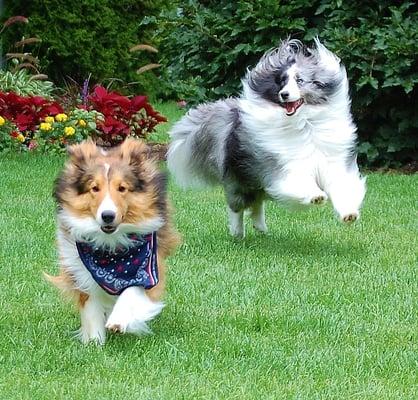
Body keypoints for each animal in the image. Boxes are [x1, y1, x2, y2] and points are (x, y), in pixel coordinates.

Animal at [47, 138, 180, 344]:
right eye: (94, 188)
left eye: (122, 188)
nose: (107, 216)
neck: (110, 248)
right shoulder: (79, 269)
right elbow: (90, 306)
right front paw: (94, 342)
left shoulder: (148, 266)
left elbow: (132, 290)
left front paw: (119, 320)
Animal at [167, 38, 366, 236]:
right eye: (281, 82)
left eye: (300, 80)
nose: (284, 94)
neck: (304, 123)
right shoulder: (283, 166)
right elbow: (300, 181)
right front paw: (316, 196)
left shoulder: (332, 162)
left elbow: (342, 187)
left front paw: (349, 214)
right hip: (239, 180)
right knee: (237, 207)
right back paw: (238, 234)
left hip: (256, 182)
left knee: (257, 205)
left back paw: (261, 230)